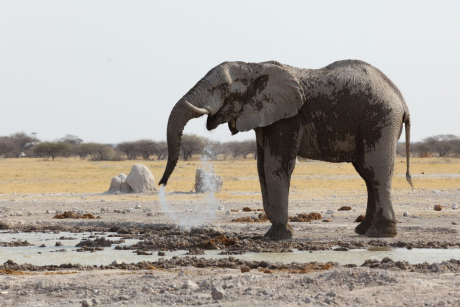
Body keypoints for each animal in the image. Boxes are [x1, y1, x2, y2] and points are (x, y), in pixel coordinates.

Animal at [159, 60, 414, 241]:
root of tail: (402, 101)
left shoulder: (287, 118)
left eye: (222, 88)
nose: (162, 184)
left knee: (374, 171)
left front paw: (278, 236)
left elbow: (275, 166)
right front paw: (275, 230)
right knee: (366, 173)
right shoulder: (265, 116)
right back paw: (363, 230)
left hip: (380, 120)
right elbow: (261, 167)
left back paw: (381, 233)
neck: (255, 67)